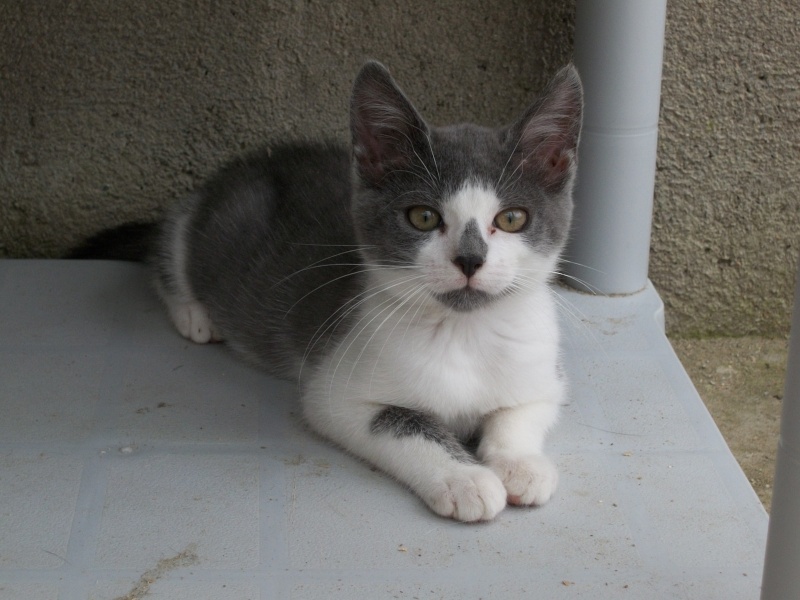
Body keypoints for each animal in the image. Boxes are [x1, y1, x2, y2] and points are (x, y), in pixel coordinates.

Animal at [97, 59, 584, 520]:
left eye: (512, 218)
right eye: (423, 217)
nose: (469, 259)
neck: (464, 332)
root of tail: (251, 163)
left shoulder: (544, 373)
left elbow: (523, 410)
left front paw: (520, 464)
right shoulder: (335, 392)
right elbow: (401, 423)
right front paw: (465, 479)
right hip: (206, 224)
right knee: (171, 239)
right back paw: (193, 312)